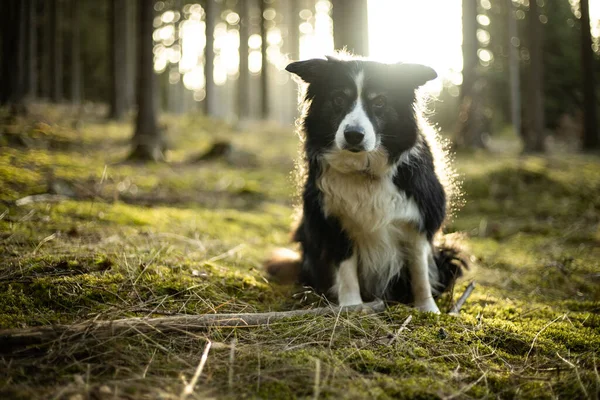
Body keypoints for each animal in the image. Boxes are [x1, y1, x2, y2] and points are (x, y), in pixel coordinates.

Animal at [268, 55, 468, 312]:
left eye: (380, 101)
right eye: (338, 99)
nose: (354, 135)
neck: (363, 170)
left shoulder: (419, 218)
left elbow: (420, 270)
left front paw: (427, 309)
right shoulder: (332, 219)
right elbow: (346, 269)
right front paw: (351, 307)